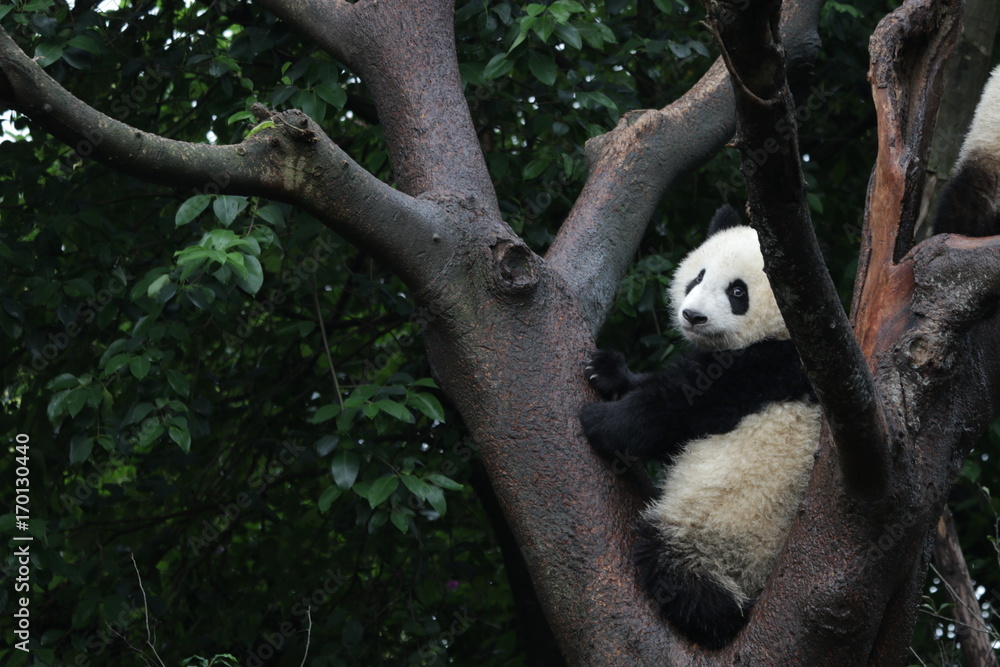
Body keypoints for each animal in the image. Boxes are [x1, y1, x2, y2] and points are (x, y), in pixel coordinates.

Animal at [578, 204, 821, 649]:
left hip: (721, 534)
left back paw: (711, 616)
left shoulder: (764, 370)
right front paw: (607, 370)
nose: (692, 315)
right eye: (698, 276)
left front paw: (601, 422)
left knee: (679, 573)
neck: (777, 333)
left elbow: (675, 409)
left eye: (738, 292)